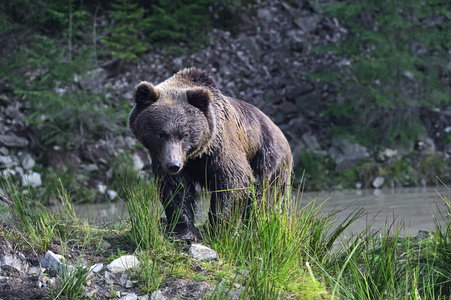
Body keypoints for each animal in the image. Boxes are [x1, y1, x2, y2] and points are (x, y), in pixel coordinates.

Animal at [129, 67, 294, 240]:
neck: (196, 155)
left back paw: (254, 229)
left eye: (185, 134)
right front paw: (183, 232)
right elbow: (175, 190)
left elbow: (232, 181)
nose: (173, 165)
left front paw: (219, 228)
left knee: (263, 195)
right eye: (160, 134)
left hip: (268, 156)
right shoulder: (163, 158)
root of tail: (281, 133)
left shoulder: (220, 149)